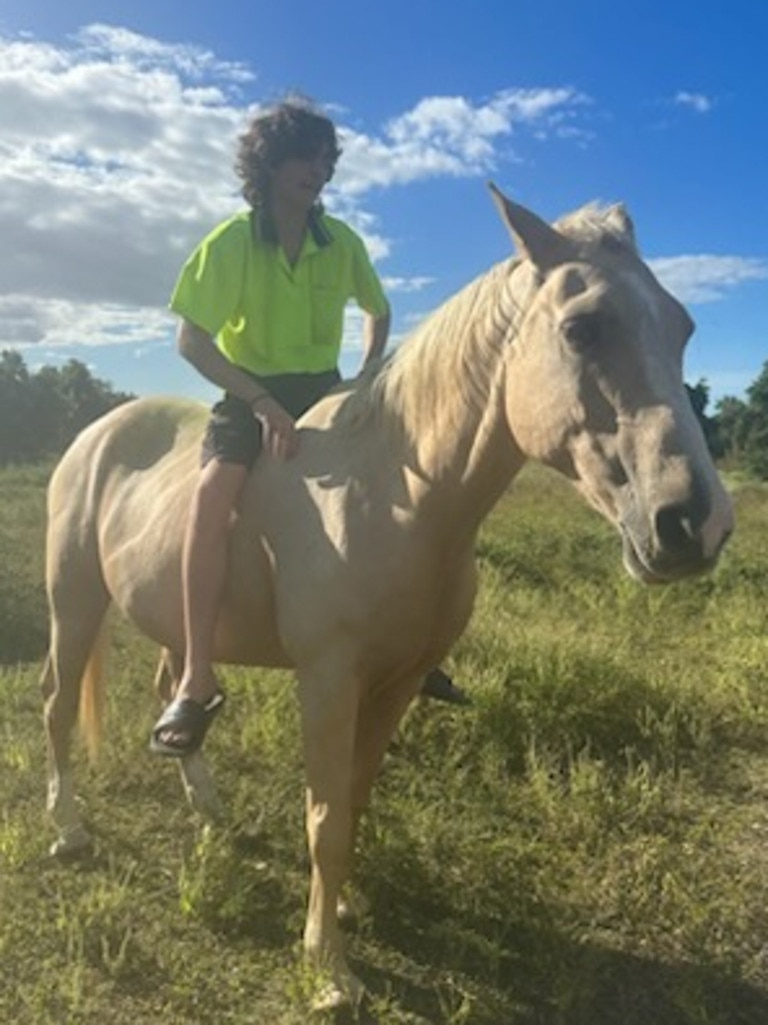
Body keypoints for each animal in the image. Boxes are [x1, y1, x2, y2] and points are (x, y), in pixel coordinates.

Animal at [40, 184, 730, 1008]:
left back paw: (206, 805)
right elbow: (325, 815)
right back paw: (69, 829)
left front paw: (342, 907)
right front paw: (328, 966)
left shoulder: (397, 682)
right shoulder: (328, 681)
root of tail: (95, 433)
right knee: (56, 707)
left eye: (683, 326)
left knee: (173, 690)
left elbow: (354, 801)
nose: (696, 522)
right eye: (581, 327)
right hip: (74, 602)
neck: (394, 497)